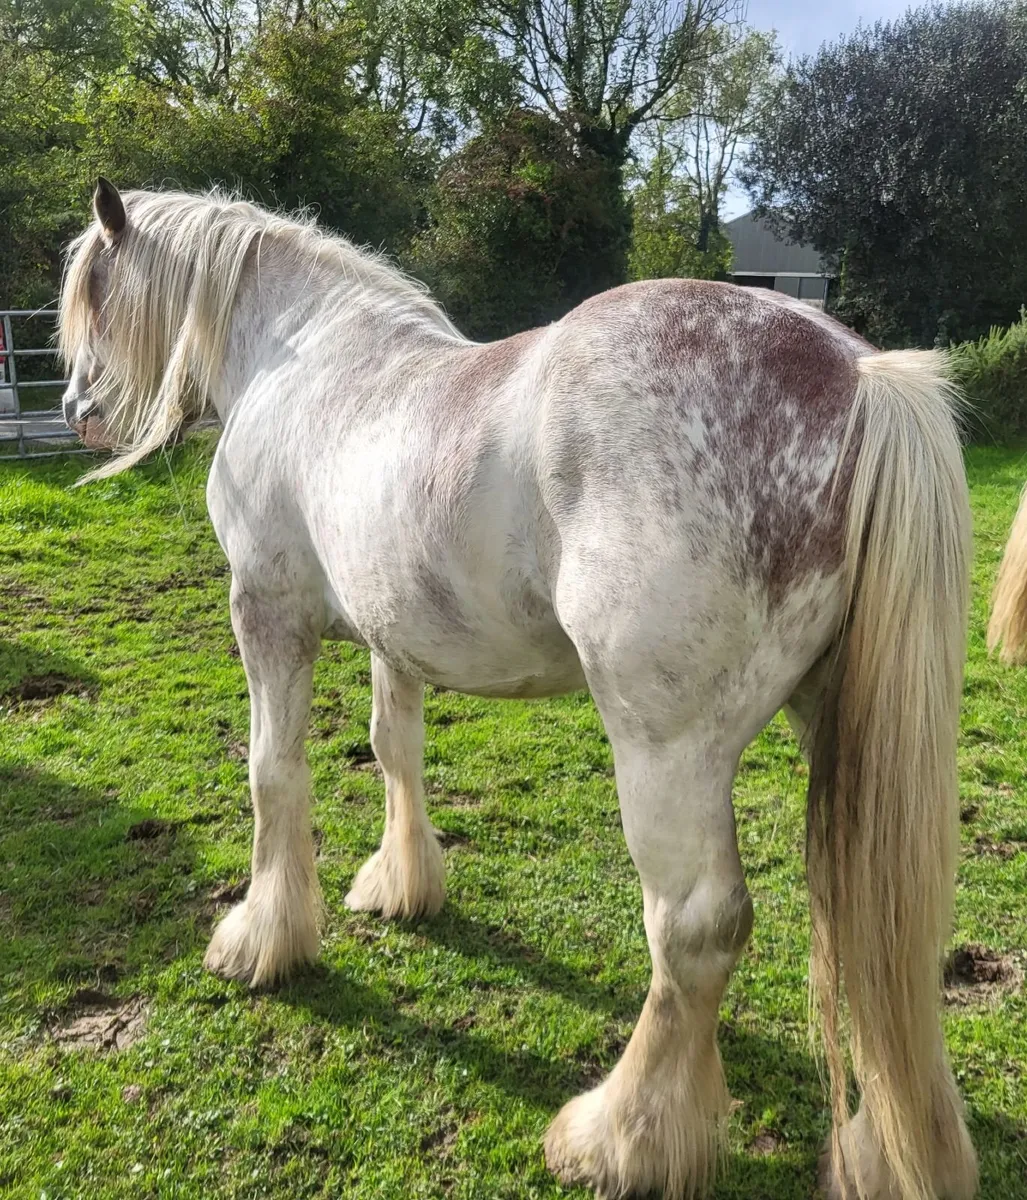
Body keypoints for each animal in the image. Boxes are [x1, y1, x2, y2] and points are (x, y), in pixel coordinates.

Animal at [59, 178, 978, 1200]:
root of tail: (858, 377)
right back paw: (877, 1150)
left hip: (666, 753)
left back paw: (617, 1138)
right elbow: (393, 751)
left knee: (695, 931)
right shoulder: (391, 634)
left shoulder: (265, 618)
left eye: (92, 290)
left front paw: (260, 940)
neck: (299, 355)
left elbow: (272, 774)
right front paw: (401, 886)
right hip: (838, 733)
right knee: (872, 929)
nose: (73, 404)